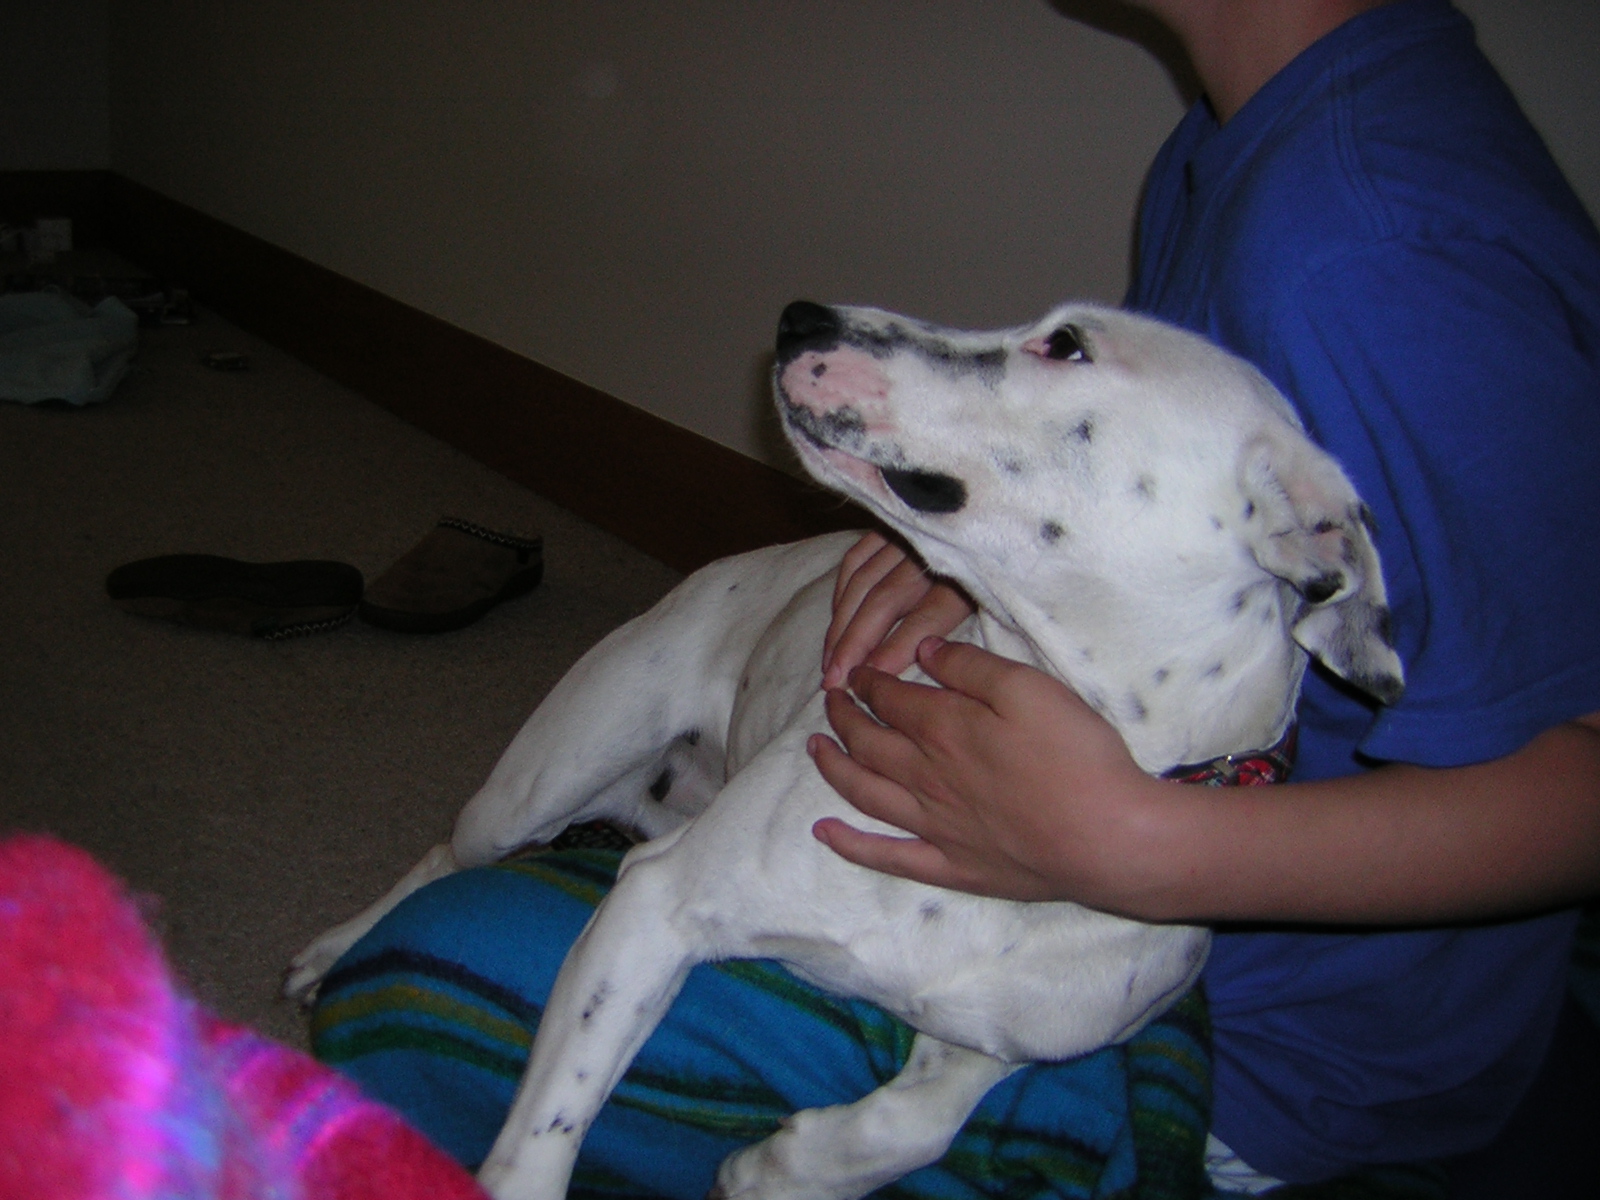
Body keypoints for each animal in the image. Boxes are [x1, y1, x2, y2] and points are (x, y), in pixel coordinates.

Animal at [287, 300, 1404, 1200]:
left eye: (1066, 345)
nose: (800, 315)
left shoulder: (995, 1045)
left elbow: (919, 1125)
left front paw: (786, 1169)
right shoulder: (657, 907)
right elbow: (544, 1136)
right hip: (536, 785)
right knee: (446, 853)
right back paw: (333, 948)